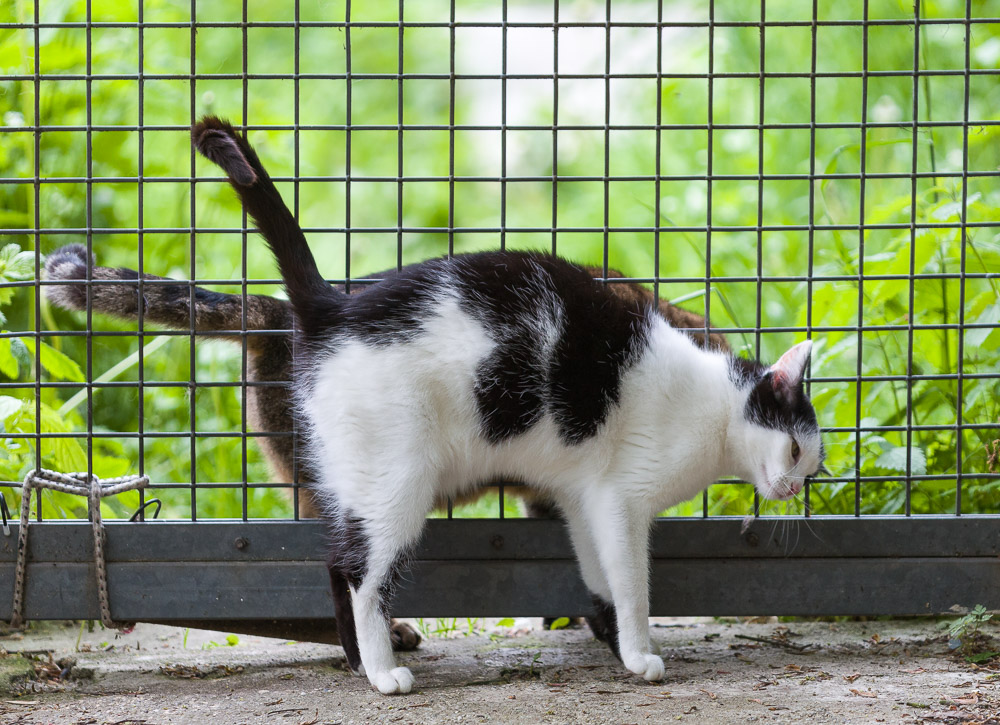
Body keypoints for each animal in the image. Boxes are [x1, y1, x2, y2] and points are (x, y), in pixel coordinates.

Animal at [191, 116, 824, 692]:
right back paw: (381, 672)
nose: (793, 489)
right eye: (796, 450)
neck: (714, 407)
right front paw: (639, 652)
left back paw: (355, 661)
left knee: (333, 561)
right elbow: (632, 584)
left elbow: (597, 573)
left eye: (813, 469)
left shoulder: (582, 498)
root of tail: (332, 307)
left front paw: (612, 639)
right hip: (397, 478)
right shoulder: (622, 500)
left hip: (355, 477)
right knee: (358, 571)